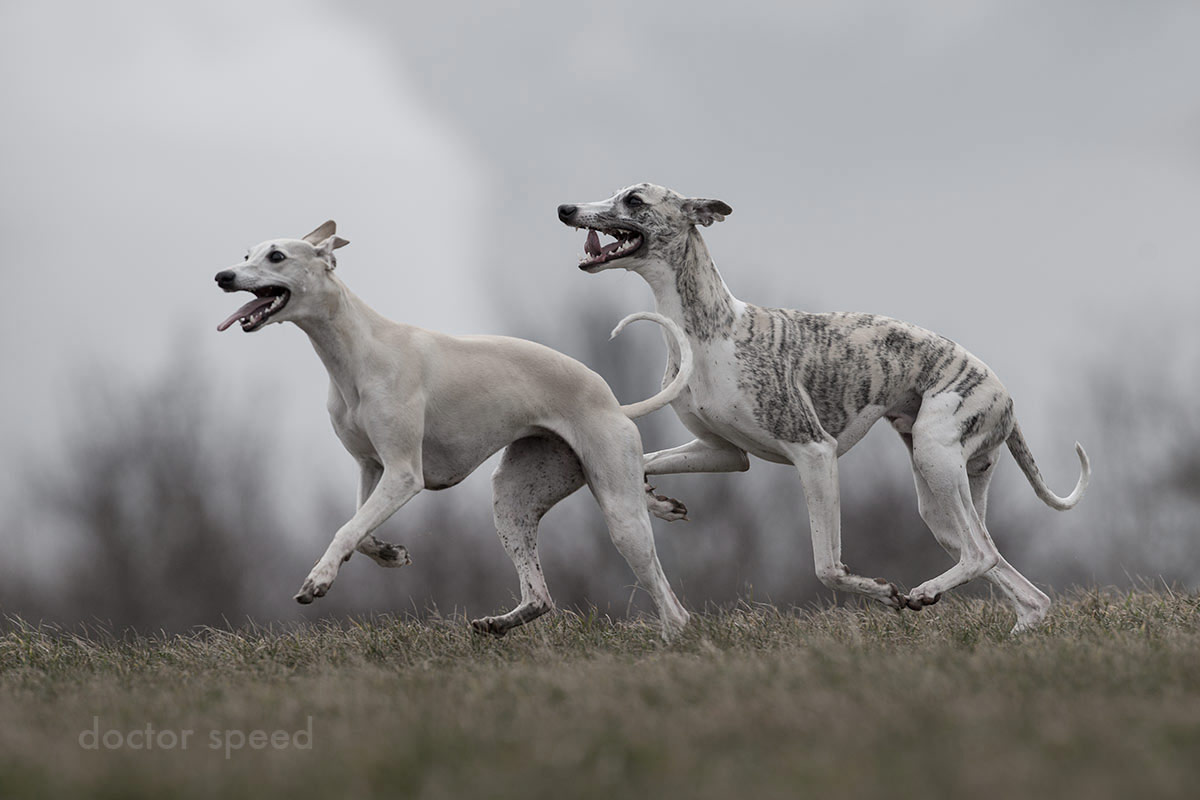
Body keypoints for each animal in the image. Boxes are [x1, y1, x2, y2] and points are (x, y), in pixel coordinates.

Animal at [214, 221, 693, 638]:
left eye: (277, 256)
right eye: (247, 254)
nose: (222, 276)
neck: (358, 348)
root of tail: (614, 403)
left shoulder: (403, 475)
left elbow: (346, 529)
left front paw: (320, 578)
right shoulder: (371, 467)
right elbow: (359, 529)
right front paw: (388, 552)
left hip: (619, 516)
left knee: (671, 604)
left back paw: (671, 635)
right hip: (512, 501)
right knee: (541, 597)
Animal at [558, 184, 1090, 632]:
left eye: (633, 198)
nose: (565, 209)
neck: (708, 331)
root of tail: (1007, 398)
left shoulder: (815, 452)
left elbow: (827, 567)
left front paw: (882, 591)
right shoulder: (724, 452)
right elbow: (646, 463)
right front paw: (659, 503)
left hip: (934, 455)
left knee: (981, 555)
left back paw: (922, 592)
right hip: (940, 499)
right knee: (1015, 579)